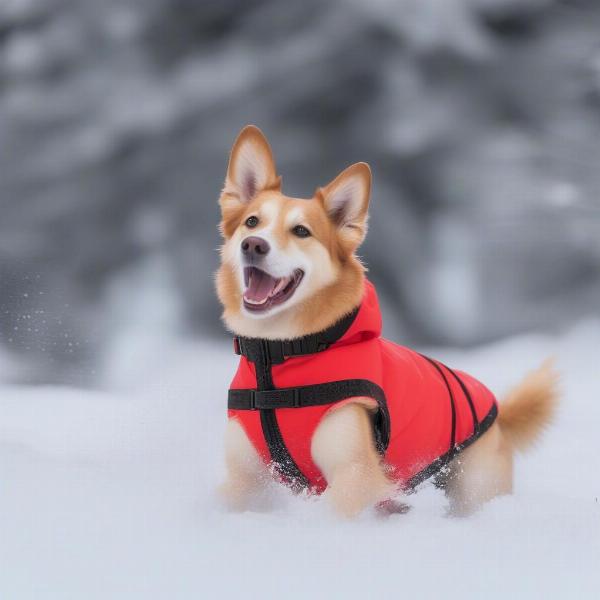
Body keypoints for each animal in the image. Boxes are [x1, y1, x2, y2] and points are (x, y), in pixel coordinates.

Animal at [214, 124, 556, 516]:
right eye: (252, 222)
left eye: (301, 231)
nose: (253, 245)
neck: (279, 355)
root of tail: (499, 415)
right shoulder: (244, 480)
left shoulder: (356, 474)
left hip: (473, 487)